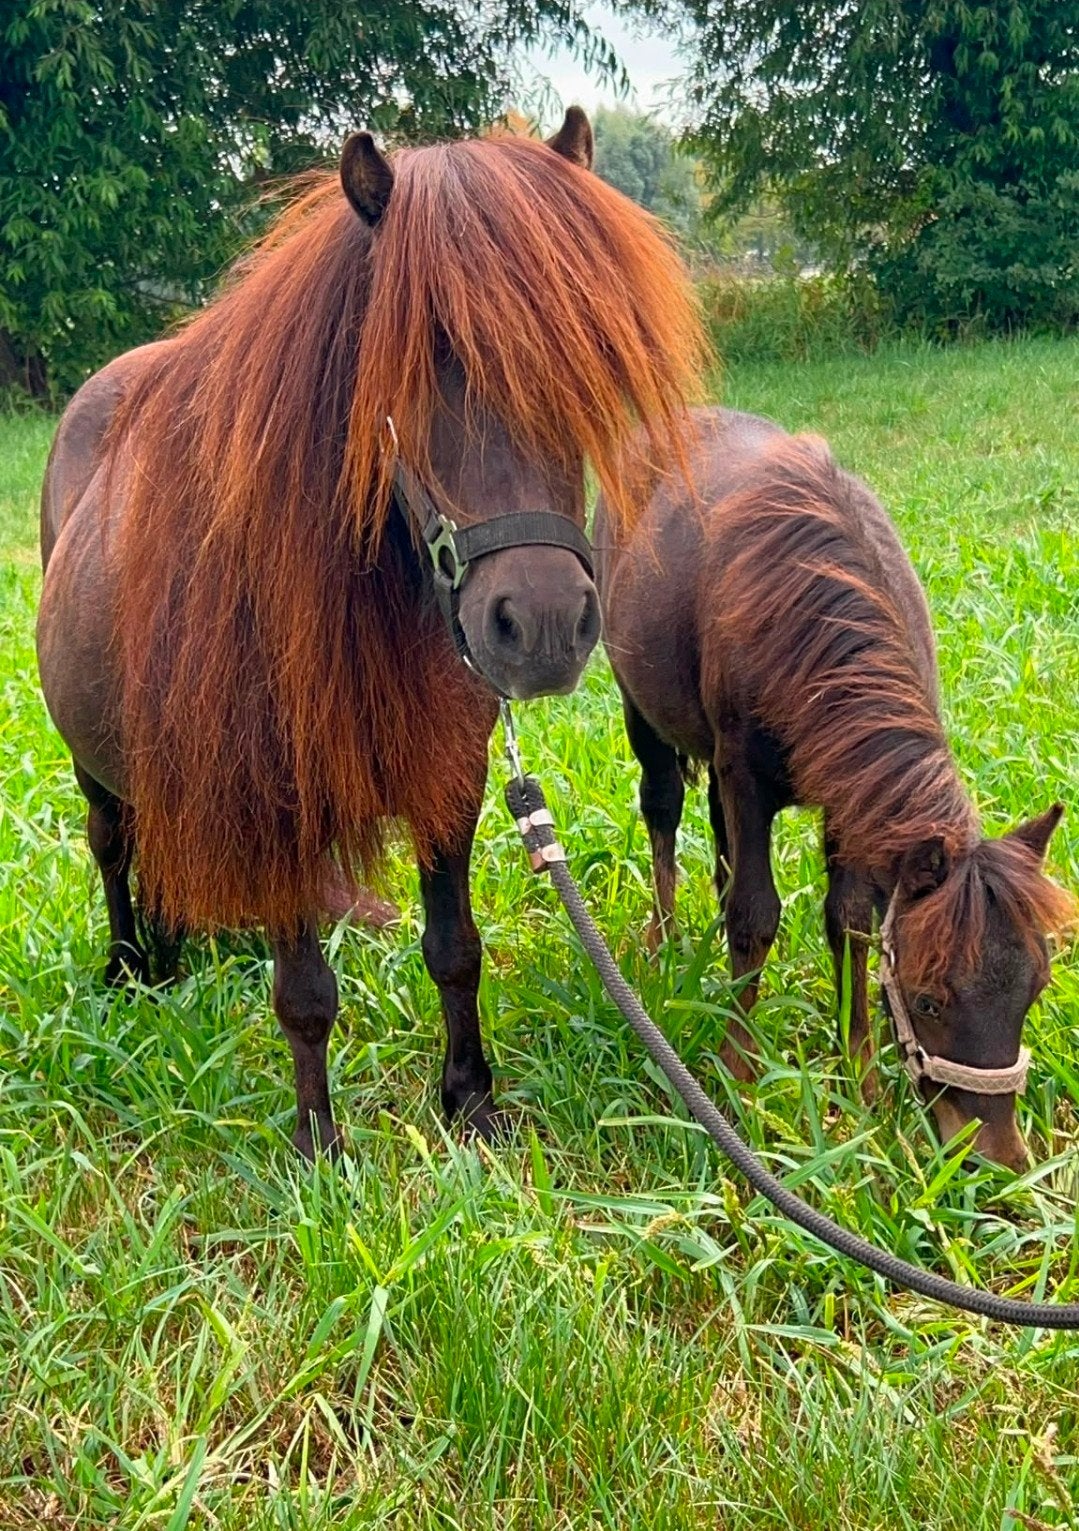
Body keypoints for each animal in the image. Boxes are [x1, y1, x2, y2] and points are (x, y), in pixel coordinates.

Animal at [36, 111, 705, 1160]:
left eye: (582, 358)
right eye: (421, 363)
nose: (542, 624)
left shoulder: (450, 778)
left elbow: (454, 948)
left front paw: (471, 1099)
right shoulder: (269, 801)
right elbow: (304, 993)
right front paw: (318, 1147)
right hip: (92, 760)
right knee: (111, 840)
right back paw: (130, 965)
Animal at [597, 407, 1074, 1170]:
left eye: (1036, 988)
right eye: (928, 999)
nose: (990, 1159)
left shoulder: (853, 800)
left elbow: (847, 919)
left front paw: (860, 1080)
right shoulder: (743, 774)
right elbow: (755, 916)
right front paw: (738, 1074)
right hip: (640, 709)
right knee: (663, 807)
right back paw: (666, 936)